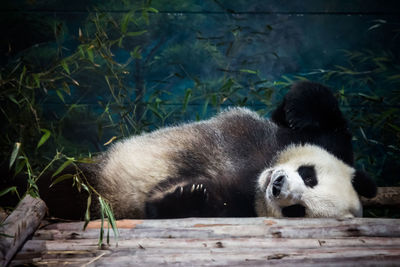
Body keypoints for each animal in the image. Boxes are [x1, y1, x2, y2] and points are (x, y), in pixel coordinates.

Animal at [38, 81, 378, 220]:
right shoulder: (321, 145)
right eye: (309, 176)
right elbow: (317, 117)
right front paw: (298, 109)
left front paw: (184, 194)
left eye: (298, 210)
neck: (258, 172)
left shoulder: (240, 205)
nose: (278, 185)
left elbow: (184, 206)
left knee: (69, 192)